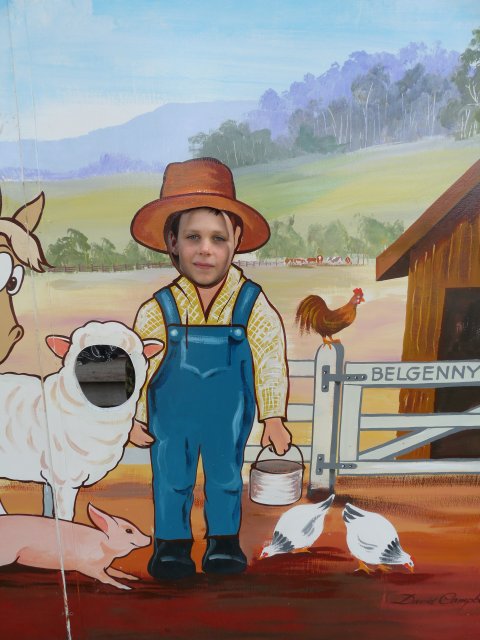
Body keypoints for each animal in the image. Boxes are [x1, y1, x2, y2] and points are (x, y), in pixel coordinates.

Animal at [0, 502, 150, 592]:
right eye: (129, 531)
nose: (149, 538)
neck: (104, 547)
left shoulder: (105, 566)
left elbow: (117, 572)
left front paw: (135, 578)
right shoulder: (88, 566)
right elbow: (106, 578)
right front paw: (127, 588)